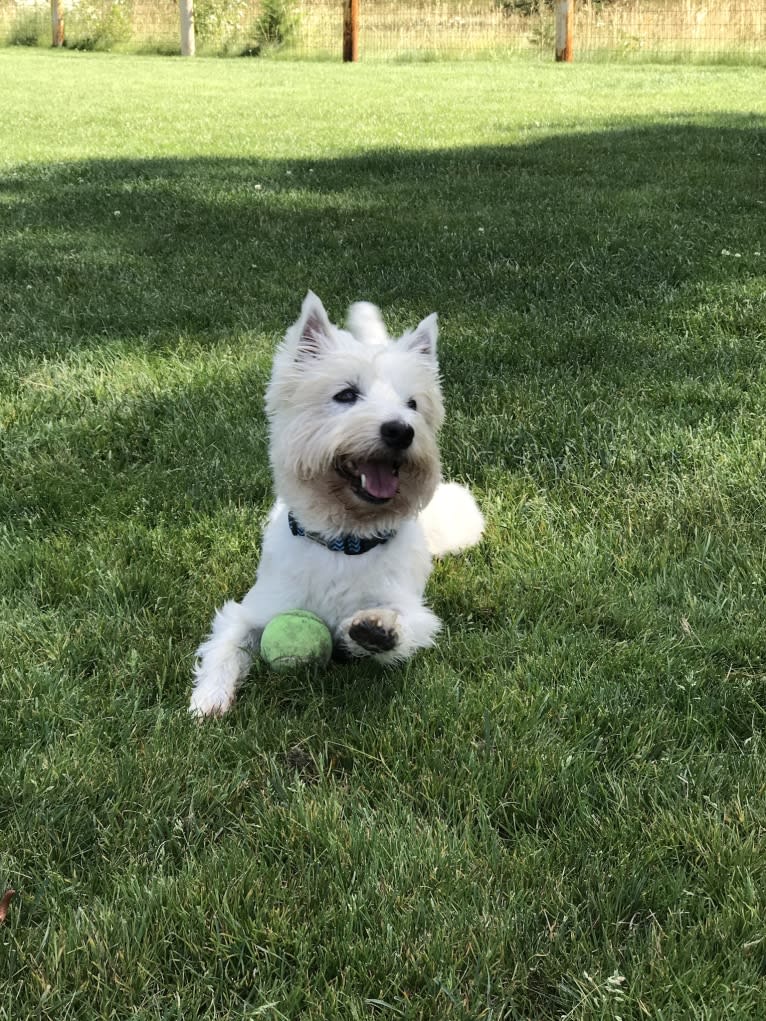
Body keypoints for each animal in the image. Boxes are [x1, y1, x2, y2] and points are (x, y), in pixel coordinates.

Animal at [188, 292, 482, 714]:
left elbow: (404, 625)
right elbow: (226, 644)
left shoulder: (413, 609)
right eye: (345, 395)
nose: (400, 430)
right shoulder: (255, 608)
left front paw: (377, 630)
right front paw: (208, 700)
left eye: (412, 404)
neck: (346, 538)